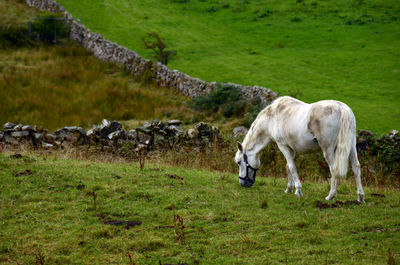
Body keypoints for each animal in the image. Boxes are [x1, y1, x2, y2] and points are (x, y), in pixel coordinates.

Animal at [234, 96, 366, 201]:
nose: (242, 183)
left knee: (334, 169)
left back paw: (330, 196)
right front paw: (289, 189)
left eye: (239, 162)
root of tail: (341, 108)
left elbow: (292, 167)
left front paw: (298, 190)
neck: (271, 118)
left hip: (328, 150)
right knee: (356, 167)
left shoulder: (283, 146)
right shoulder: (291, 148)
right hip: (351, 146)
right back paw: (360, 197)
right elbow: (288, 167)